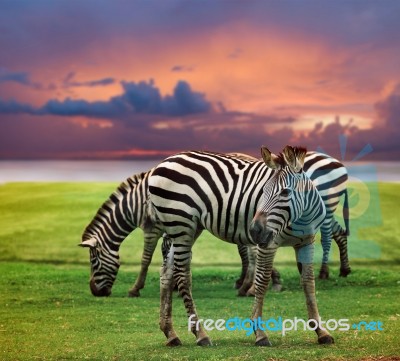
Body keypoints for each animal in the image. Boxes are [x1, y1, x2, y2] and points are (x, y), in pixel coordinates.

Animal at [147, 146, 334, 346]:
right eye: (263, 191)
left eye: (285, 192)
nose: (254, 230)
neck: (301, 217)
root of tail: (163, 162)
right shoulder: (268, 244)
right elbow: (262, 282)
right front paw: (260, 333)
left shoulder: (307, 243)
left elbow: (308, 283)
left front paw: (321, 331)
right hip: (181, 225)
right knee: (182, 275)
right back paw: (201, 334)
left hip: (186, 228)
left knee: (167, 272)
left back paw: (170, 333)